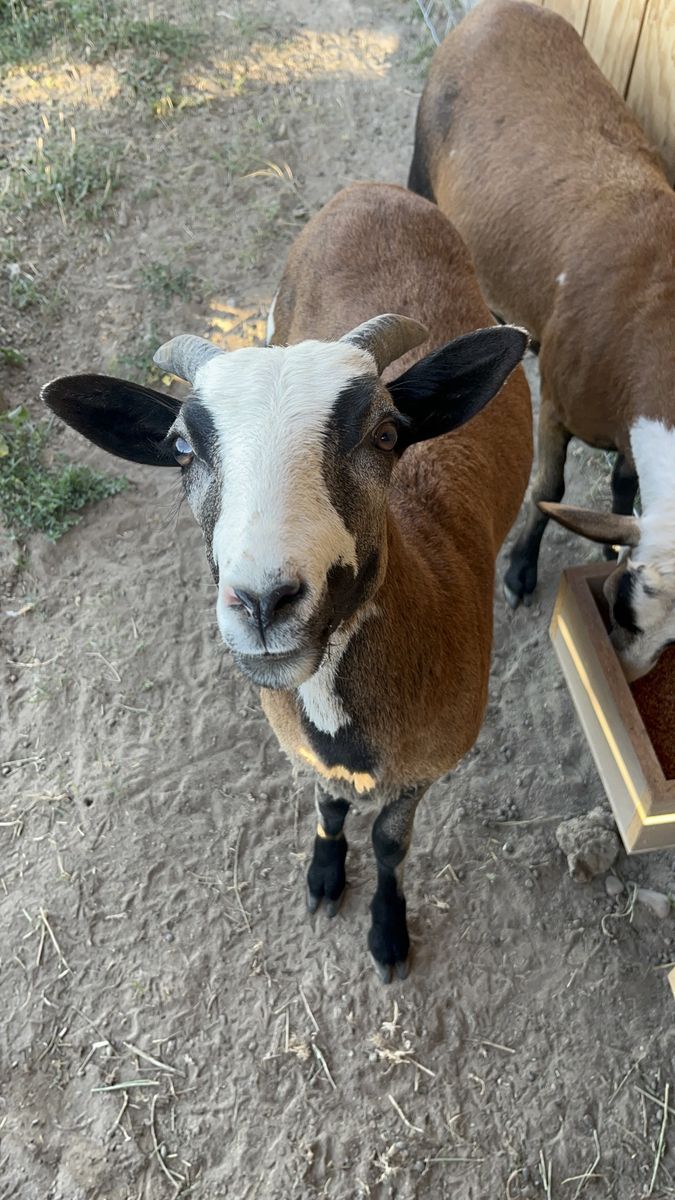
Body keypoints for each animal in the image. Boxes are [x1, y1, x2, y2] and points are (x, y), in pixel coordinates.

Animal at [42, 181, 531, 980]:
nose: (264, 602)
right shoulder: (305, 750)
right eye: (181, 448)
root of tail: (373, 190)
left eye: (386, 434)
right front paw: (323, 876)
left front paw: (387, 931)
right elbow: (329, 810)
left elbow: (390, 844)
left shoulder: (427, 766)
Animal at [408, 0, 675, 681]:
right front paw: (520, 570)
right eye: (622, 604)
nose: (627, 671)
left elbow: (624, 485)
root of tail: (500, 10)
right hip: (421, 166)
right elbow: (549, 489)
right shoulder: (556, 405)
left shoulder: (627, 426)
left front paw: (604, 540)